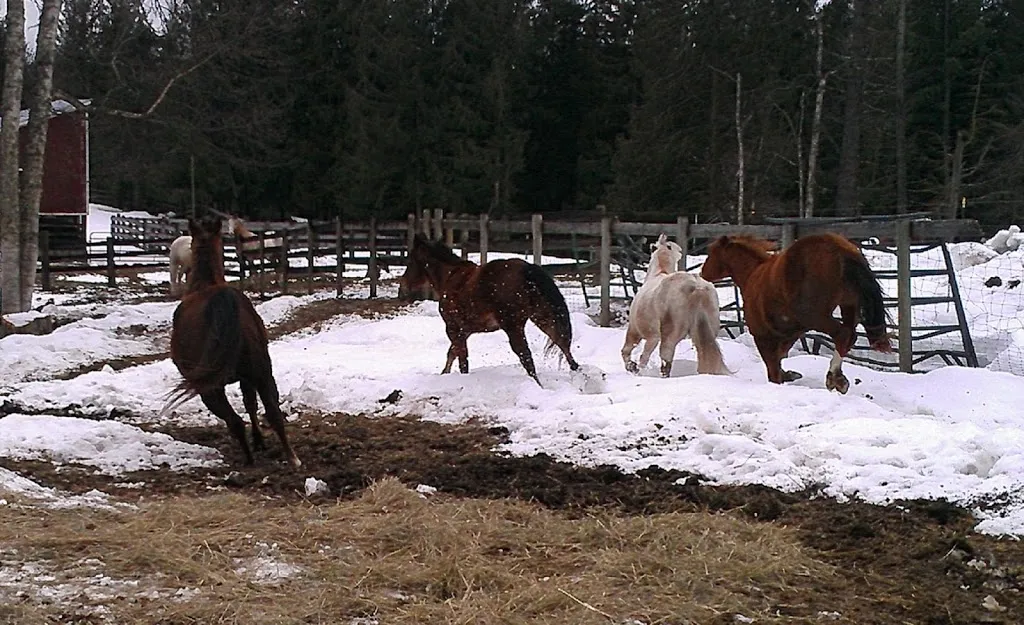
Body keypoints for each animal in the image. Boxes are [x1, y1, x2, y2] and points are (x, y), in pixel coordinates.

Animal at [166, 216, 301, 468]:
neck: (206, 284)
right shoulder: (249, 377)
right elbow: (252, 405)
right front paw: (259, 440)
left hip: (210, 389)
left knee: (235, 421)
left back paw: (249, 460)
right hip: (263, 373)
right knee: (273, 413)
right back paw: (292, 458)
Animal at [398, 233, 580, 385]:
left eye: (411, 261)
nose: (402, 291)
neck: (450, 276)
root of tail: (526, 269)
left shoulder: (453, 328)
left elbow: (461, 359)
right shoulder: (465, 330)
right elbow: (453, 353)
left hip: (513, 327)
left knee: (527, 358)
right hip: (543, 318)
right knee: (567, 352)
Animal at [621, 234, 729, 377]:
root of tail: (697, 286)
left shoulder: (640, 332)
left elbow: (633, 353)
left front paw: (633, 368)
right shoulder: (652, 337)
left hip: (669, 336)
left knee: (665, 361)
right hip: (708, 330)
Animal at [700, 233, 893, 394]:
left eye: (711, 252)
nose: (702, 273)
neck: (752, 274)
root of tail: (841, 249)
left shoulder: (763, 337)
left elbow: (773, 369)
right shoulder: (790, 333)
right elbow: (780, 358)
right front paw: (789, 374)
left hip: (816, 317)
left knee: (844, 335)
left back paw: (835, 378)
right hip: (848, 307)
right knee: (848, 335)